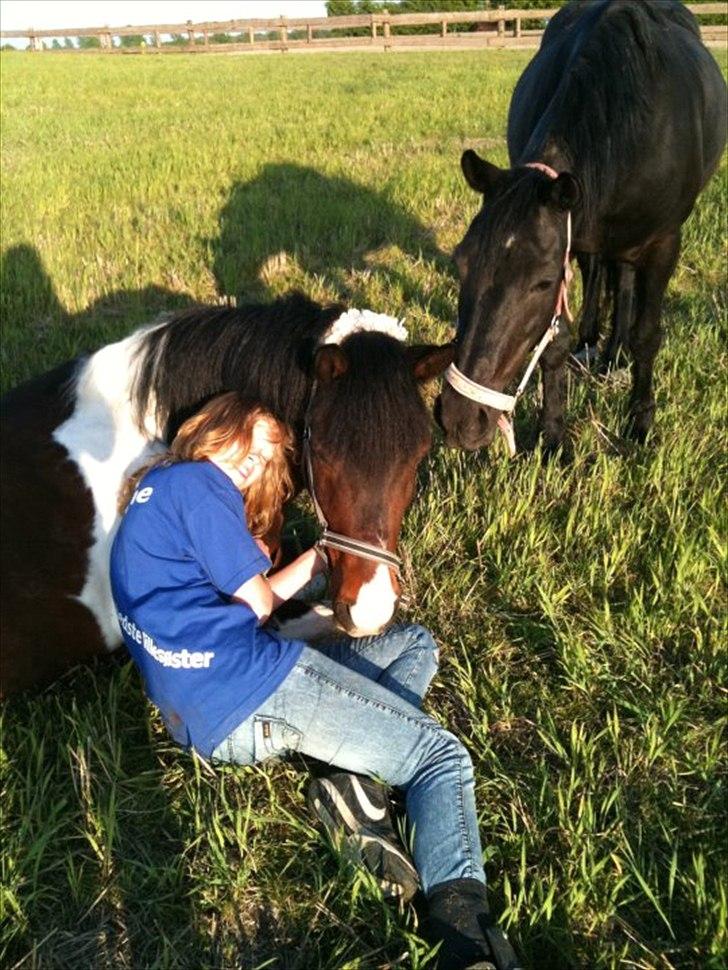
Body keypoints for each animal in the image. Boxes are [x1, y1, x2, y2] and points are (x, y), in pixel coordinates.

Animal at [436, 0, 724, 454]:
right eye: (460, 264)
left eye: (541, 282)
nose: (459, 419)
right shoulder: (570, 236)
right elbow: (554, 343)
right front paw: (553, 435)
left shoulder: (663, 244)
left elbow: (647, 335)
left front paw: (640, 423)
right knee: (601, 272)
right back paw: (594, 343)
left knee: (622, 277)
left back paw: (615, 352)